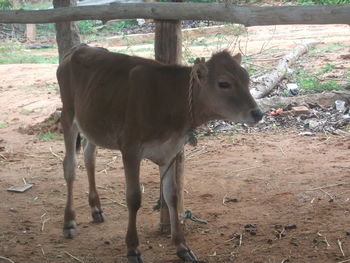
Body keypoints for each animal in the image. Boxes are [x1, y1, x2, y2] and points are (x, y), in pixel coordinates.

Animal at [56, 43, 262, 263]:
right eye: (224, 83)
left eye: (246, 78)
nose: (258, 113)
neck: (169, 101)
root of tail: (80, 47)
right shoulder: (130, 149)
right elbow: (134, 198)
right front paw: (133, 248)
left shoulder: (171, 150)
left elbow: (172, 195)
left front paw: (181, 246)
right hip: (68, 116)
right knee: (70, 167)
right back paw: (69, 222)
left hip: (93, 124)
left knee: (89, 157)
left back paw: (96, 208)